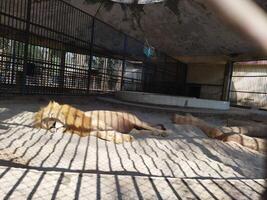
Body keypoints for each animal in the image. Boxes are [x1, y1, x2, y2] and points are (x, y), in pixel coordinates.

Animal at [33, 101, 168, 144]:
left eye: (52, 115)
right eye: (47, 126)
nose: (52, 126)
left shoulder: (101, 124)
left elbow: (111, 131)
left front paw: (123, 138)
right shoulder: (94, 132)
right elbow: (104, 135)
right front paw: (122, 138)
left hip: (137, 122)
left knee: (151, 127)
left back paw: (162, 132)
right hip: (136, 125)